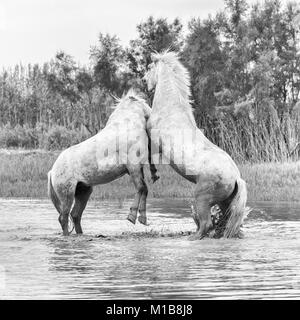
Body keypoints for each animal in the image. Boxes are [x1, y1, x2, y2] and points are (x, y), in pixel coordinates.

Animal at [47, 90, 158, 235]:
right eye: (145, 103)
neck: (128, 126)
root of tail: (52, 172)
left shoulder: (136, 168)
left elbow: (144, 189)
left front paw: (142, 218)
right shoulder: (132, 166)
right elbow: (142, 188)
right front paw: (132, 216)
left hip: (83, 192)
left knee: (75, 215)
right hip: (67, 194)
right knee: (64, 218)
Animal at [144, 50, 250, 240]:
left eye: (149, 68)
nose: (144, 81)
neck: (170, 109)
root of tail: (236, 177)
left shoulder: (154, 138)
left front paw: (154, 174)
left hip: (202, 198)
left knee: (206, 224)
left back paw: (192, 238)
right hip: (224, 202)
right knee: (227, 224)